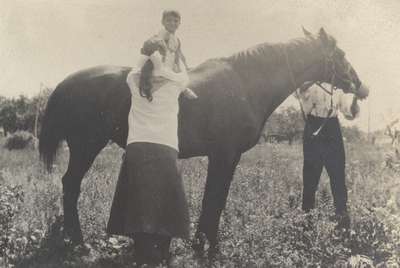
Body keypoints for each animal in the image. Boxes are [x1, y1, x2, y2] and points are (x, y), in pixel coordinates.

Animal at [39, 28, 368, 252]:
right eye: (340, 55)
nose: (362, 88)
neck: (245, 84)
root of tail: (67, 83)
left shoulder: (224, 157)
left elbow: (214, 199)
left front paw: (202, 242)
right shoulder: (224, 155)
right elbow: (215, 199)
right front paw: (208, 245)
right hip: (85, 147)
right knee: (71, 185)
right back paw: (78, 241)